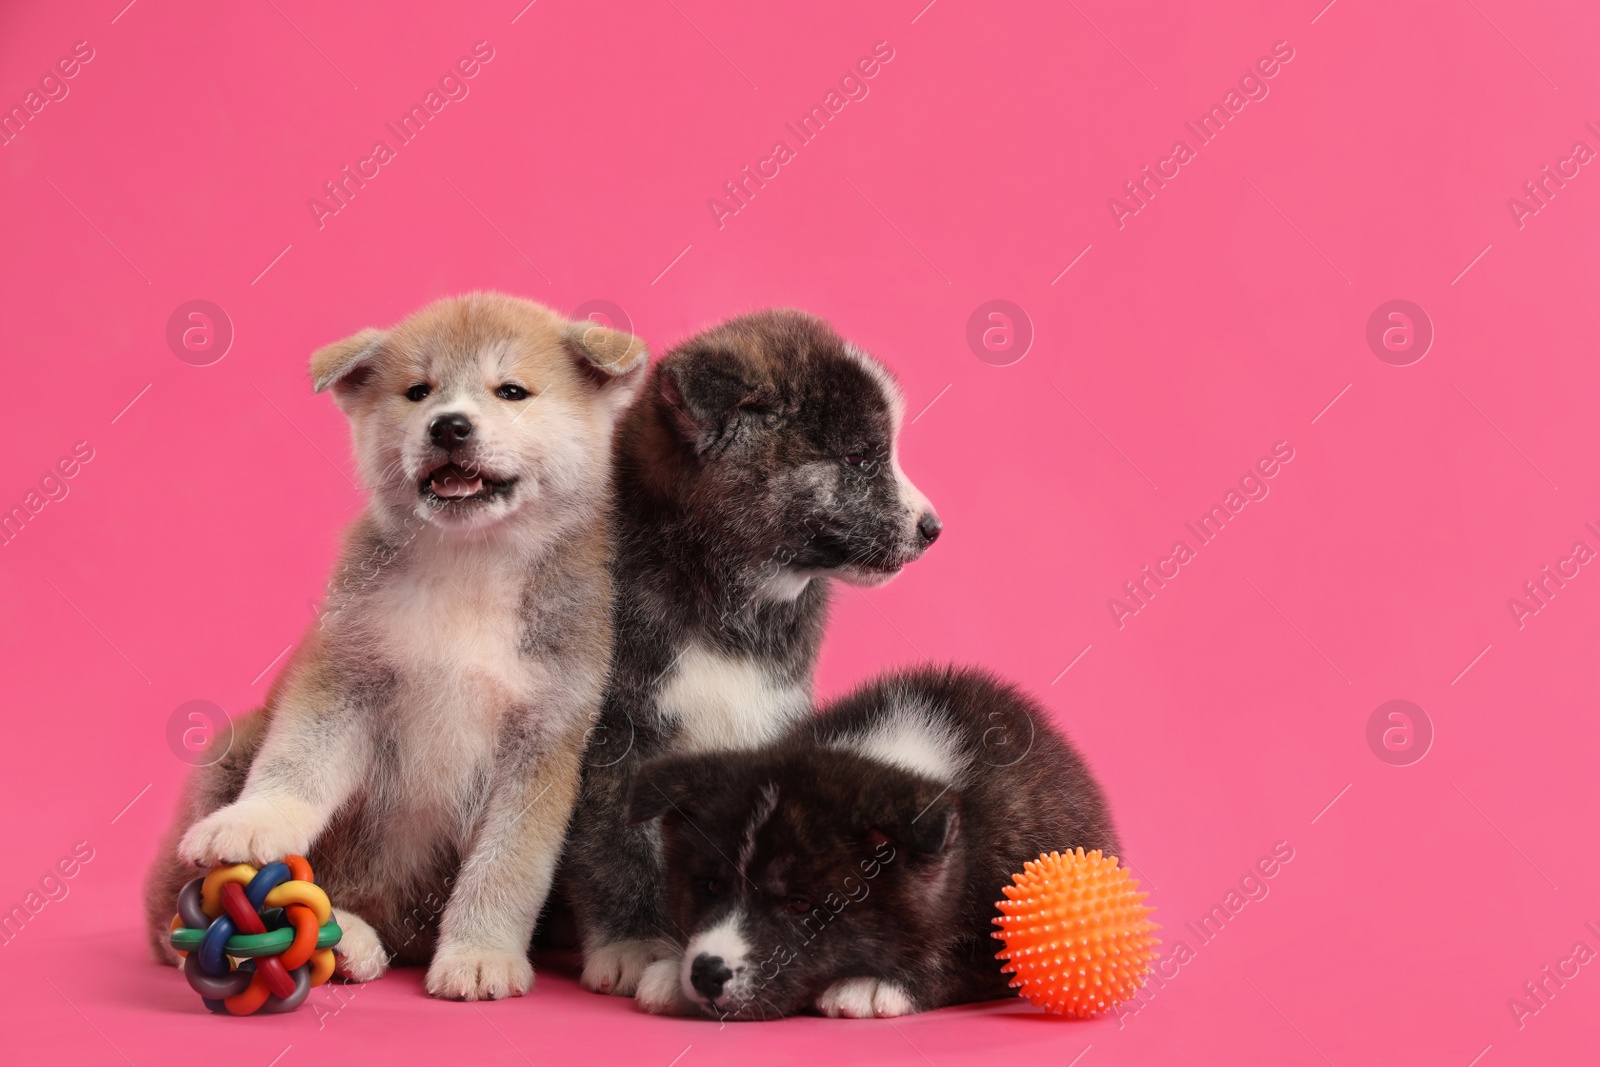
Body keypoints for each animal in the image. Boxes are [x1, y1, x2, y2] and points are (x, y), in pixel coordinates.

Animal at [624, 668, 1113, 1017]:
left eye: (800, 904)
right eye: (709, 886)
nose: (707, 973)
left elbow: (958, 956)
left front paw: (872, 984)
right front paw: (672, 972)